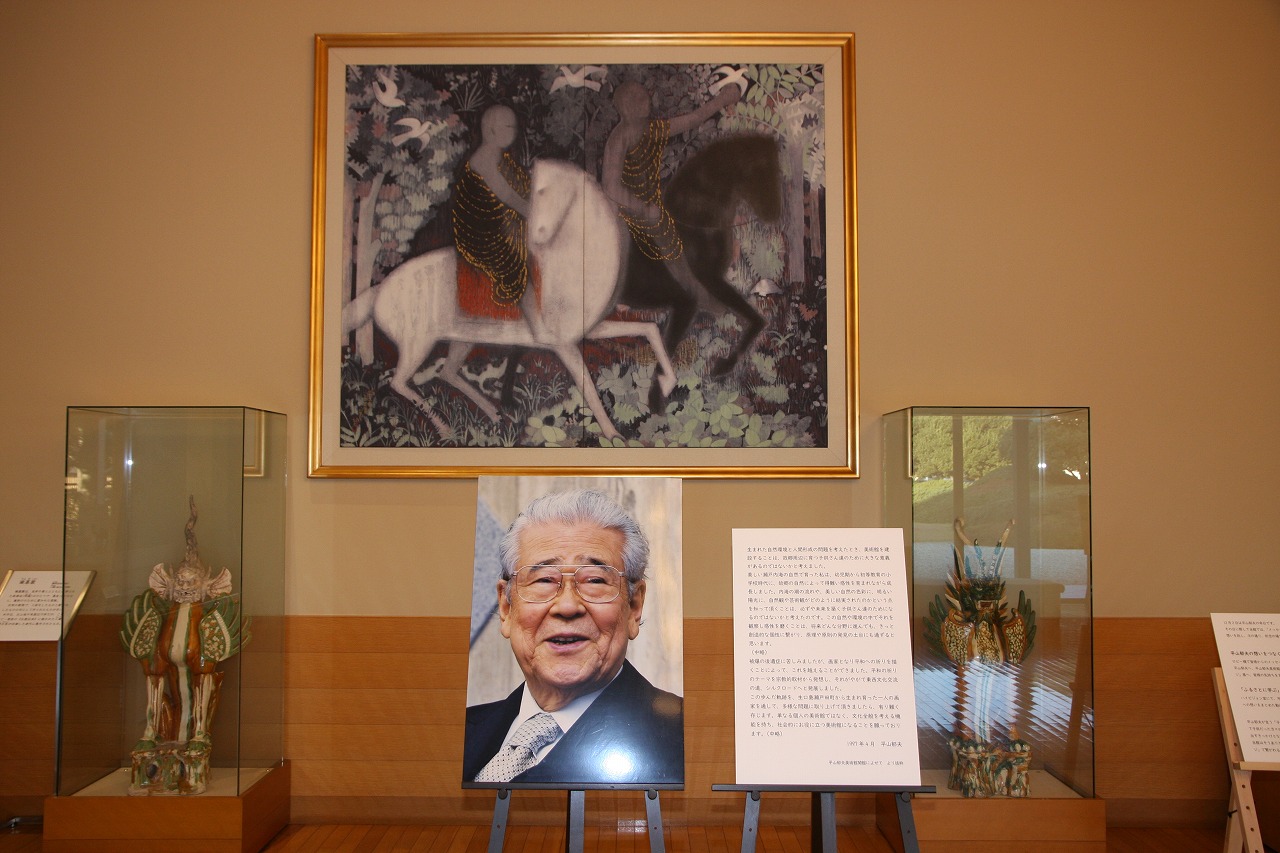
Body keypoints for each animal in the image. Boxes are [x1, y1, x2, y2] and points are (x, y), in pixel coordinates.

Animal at [341, 159, 677, 441]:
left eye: (543, 191)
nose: (536, 235)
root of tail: (379, 290)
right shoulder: (564, 346)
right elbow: (589, 389)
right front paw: (614, 436)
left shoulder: (589, 331)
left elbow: (648, 331)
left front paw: (667, 385)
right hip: (417, 346)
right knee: (399, 383)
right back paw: (446, 428)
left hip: (462, 340)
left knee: (447, 372)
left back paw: (493, 414)